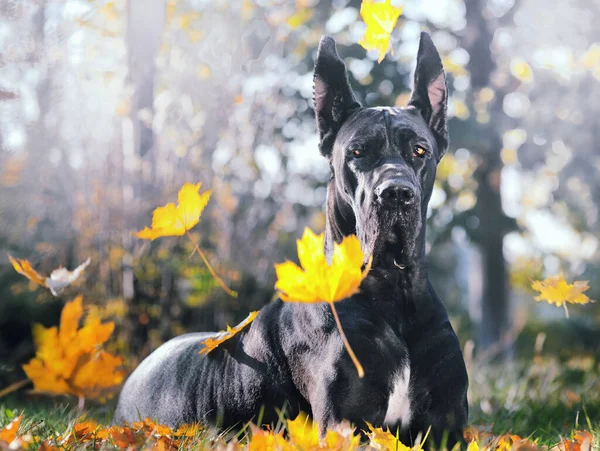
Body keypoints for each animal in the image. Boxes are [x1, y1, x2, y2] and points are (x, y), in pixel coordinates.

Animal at [113, 32, 468, 448]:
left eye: (419, 150)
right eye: (358, 152)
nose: (396, 193)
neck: (393, 295)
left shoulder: (449, 426)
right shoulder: (345, 424)